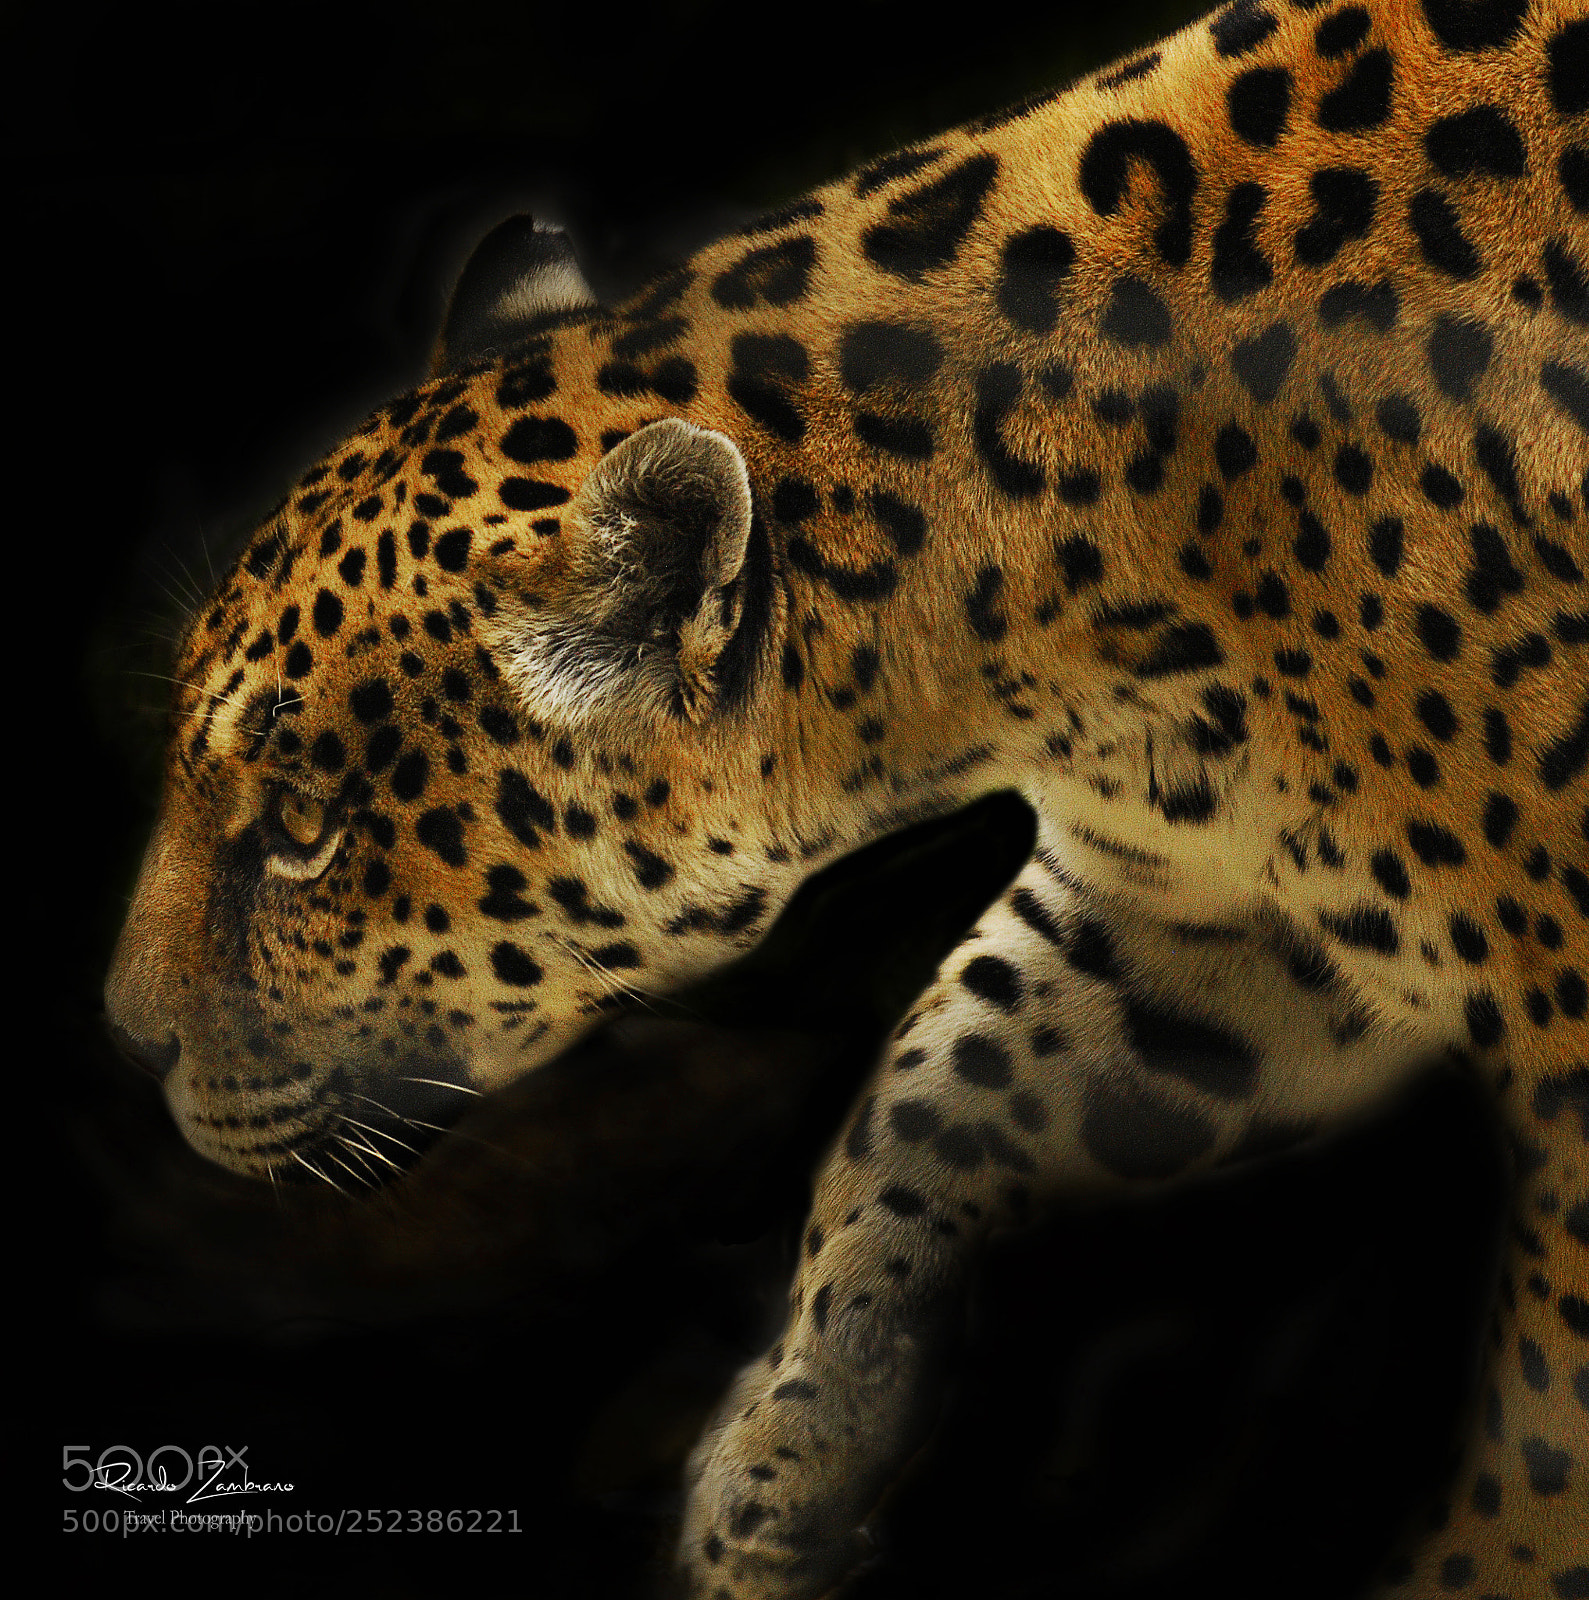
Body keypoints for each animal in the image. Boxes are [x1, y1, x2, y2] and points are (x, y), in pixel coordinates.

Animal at [105, 0, 1588, 1594]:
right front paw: (782, 1469)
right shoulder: (1202, 929)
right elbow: (932, 1092)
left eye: (303, 831)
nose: (124, 1042)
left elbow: (1546, 1433)